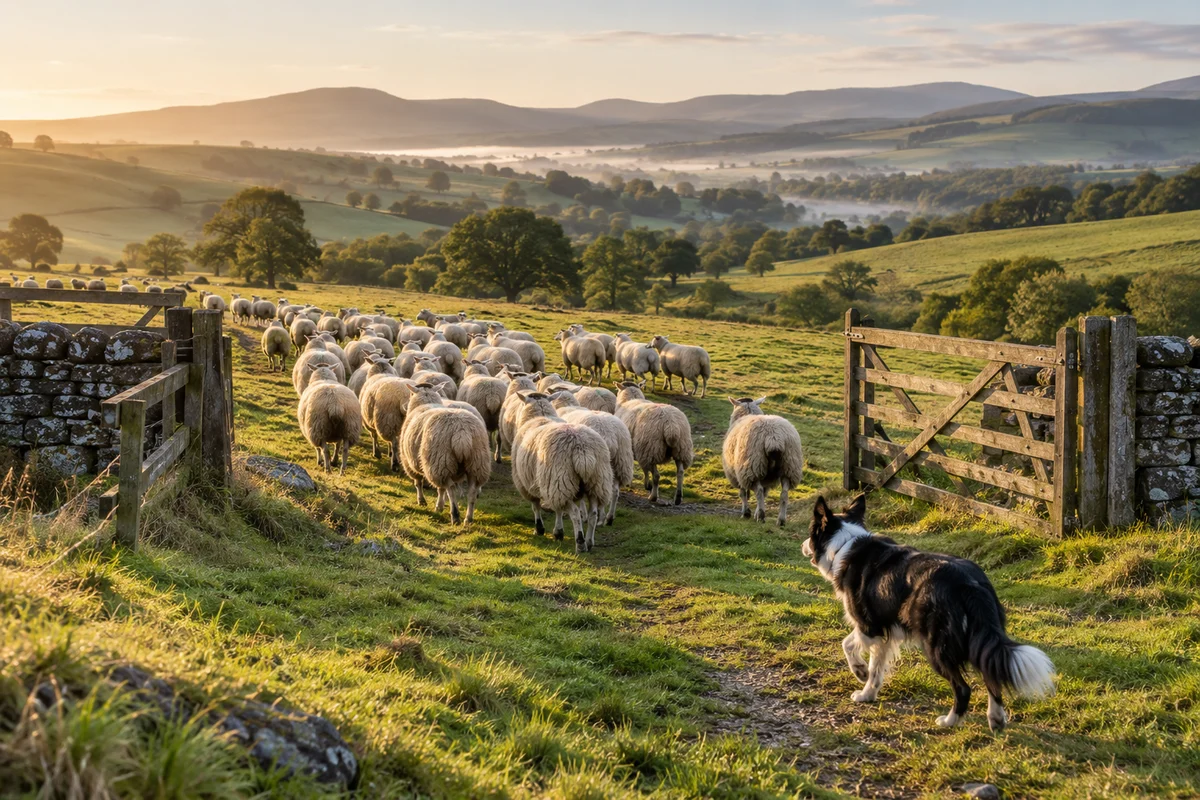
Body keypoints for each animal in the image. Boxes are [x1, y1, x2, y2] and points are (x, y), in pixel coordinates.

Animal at [400, 386, 491, 524]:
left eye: (410, 394)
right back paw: (468, 518)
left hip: (441, 461)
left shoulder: (409, 462)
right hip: (477, 462)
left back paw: (455, 515)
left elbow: (419, 483)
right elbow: (440, 489)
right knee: (472, 491)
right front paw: (439, 506)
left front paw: (424, 501)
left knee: (451, 489)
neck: (426, 403)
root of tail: (461, 432)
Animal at [510, 392, 613, 552]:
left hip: (561, 480)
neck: (542, 416)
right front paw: (558, 532)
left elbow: (536, 506)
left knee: (575, 513)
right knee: (593, 514)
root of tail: (581, 449)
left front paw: (540, 529)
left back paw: (580, 543)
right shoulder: (551, 485)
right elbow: (558, 509)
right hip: (596, 482)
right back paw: (589, 542)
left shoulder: (528, 484)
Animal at [550, 391, 634, 526]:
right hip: (620, 461)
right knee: (614, 491)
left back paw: (600, 518)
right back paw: (609, 518)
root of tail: (610, 433)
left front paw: (582, 514)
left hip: (599, 466)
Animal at [722, 397, 805, 526]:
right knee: (783, 494)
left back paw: (761, 516)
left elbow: (743, 493)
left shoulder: (737, 473)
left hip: (752, 466)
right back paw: (781, 520)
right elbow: (764, 493)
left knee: (759, 491)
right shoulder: (765, 477)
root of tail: (774, 437)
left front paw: (746, 513)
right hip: (789, 466)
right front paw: (754, 513)